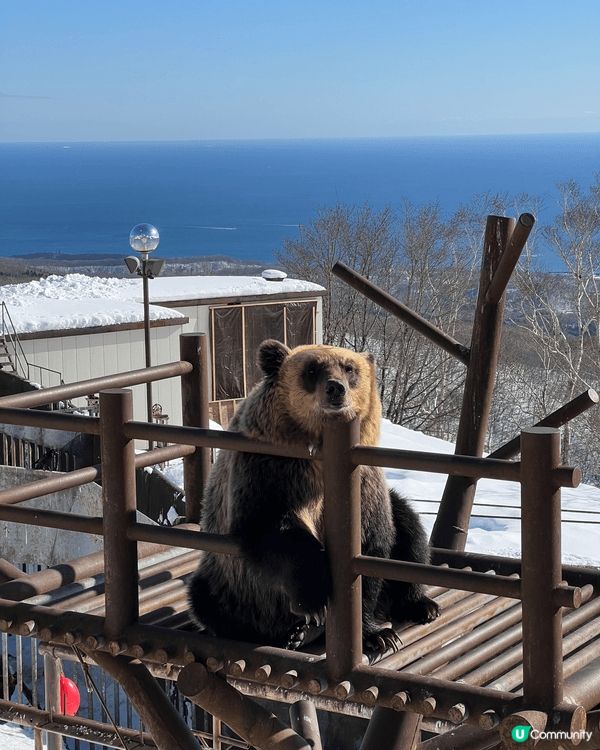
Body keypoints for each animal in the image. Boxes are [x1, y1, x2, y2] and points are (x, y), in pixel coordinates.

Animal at [188, 339, 439, 657]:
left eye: (349, 368)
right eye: (311, 369)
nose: (335, 389)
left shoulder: (365, 483)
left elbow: (370, 547)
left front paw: (377, 635)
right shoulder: (271, 470)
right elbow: (272, 528)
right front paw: (314, 600)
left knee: (410, 532)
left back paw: (421, 604)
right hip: (230, 585)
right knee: (208, 601)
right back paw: (291, 634)